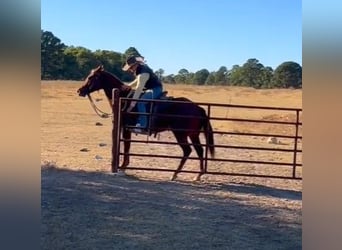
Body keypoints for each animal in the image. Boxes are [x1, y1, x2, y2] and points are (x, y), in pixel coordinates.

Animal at [79, 65, 215, 181]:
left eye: (91, 77)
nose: (80, 91)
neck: (123, 98)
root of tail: (199, 108)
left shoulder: (126, 128)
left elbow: (127, 146)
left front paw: (123, 167)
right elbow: (127, 146)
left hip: (180, 134)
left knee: (187, 151)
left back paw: (175, 174)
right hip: (193, 135)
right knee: (199, 151)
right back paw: (197, 175)